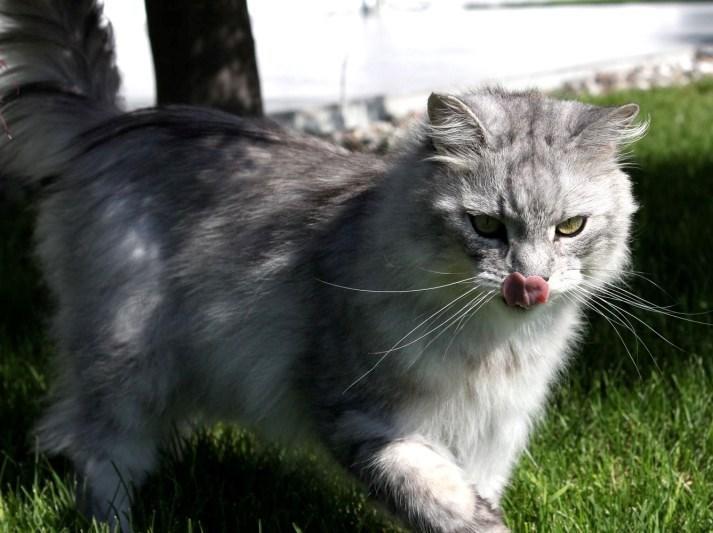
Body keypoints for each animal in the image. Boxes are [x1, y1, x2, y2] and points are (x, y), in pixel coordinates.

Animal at [0, 1, 644, 532]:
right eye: (486, 226)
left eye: (570, 228)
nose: (529, 281)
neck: (491, 348)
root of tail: (116, 123)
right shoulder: (359, 414)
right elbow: (437, 499)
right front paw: (478, 522)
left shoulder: (493, 437)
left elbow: (470, 490)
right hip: (125, 361)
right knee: (99, 455)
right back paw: (115, 524)